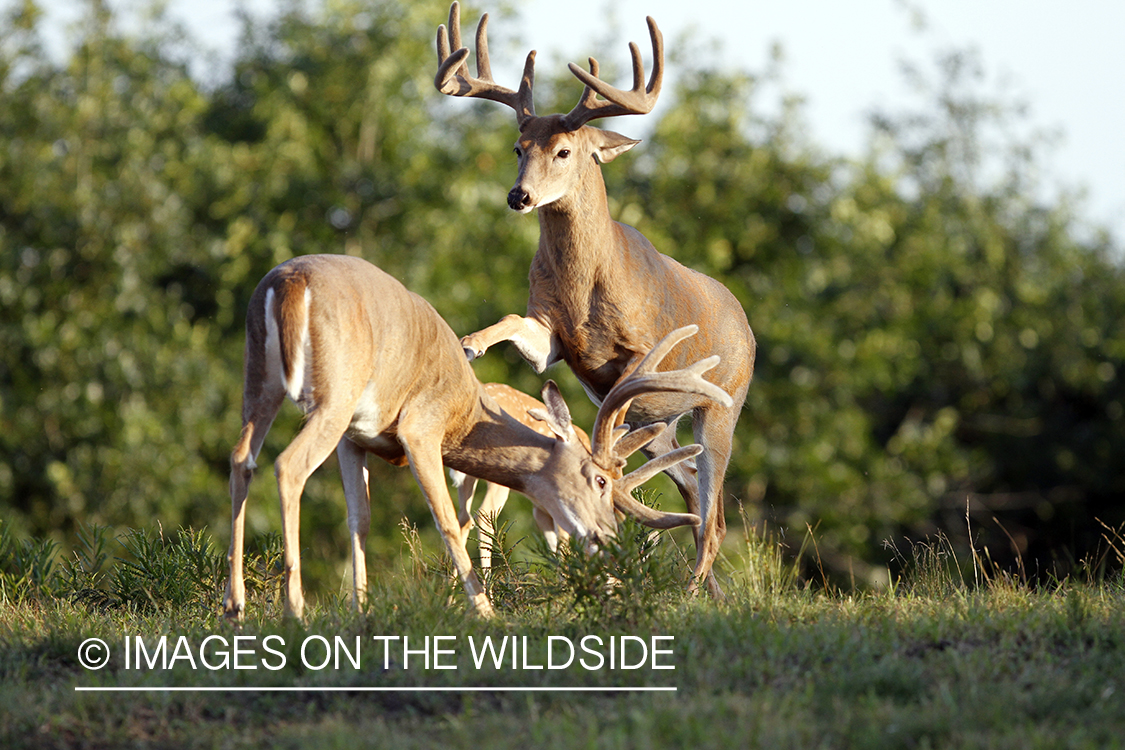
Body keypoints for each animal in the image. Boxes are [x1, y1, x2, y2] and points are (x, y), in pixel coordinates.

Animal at [221, 255, 729, 620]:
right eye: (601, 481)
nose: (609, 535)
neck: (465, 417)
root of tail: (289, 282)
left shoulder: (357, 437)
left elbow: (359, 520)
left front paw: (360, 612)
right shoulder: (419, 426)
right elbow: (449, 521)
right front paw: (484, 612)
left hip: (258, 377)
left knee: (242, 457)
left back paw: (235, 606)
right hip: (335, 391)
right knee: (288, 465)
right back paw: (294, 611)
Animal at [432, 1, 756, 598]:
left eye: (564, 150)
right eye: (518, 148)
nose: (519, 196)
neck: (586, 289)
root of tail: (745, 324)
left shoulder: (640, 349)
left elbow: (623, 385)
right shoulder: (550, 334)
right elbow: (514, 321)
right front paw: (470, 344)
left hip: (722, 405)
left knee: (712, 509)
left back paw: (692, 589)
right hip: (665, 432)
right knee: (693, 493)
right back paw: (708, 589)